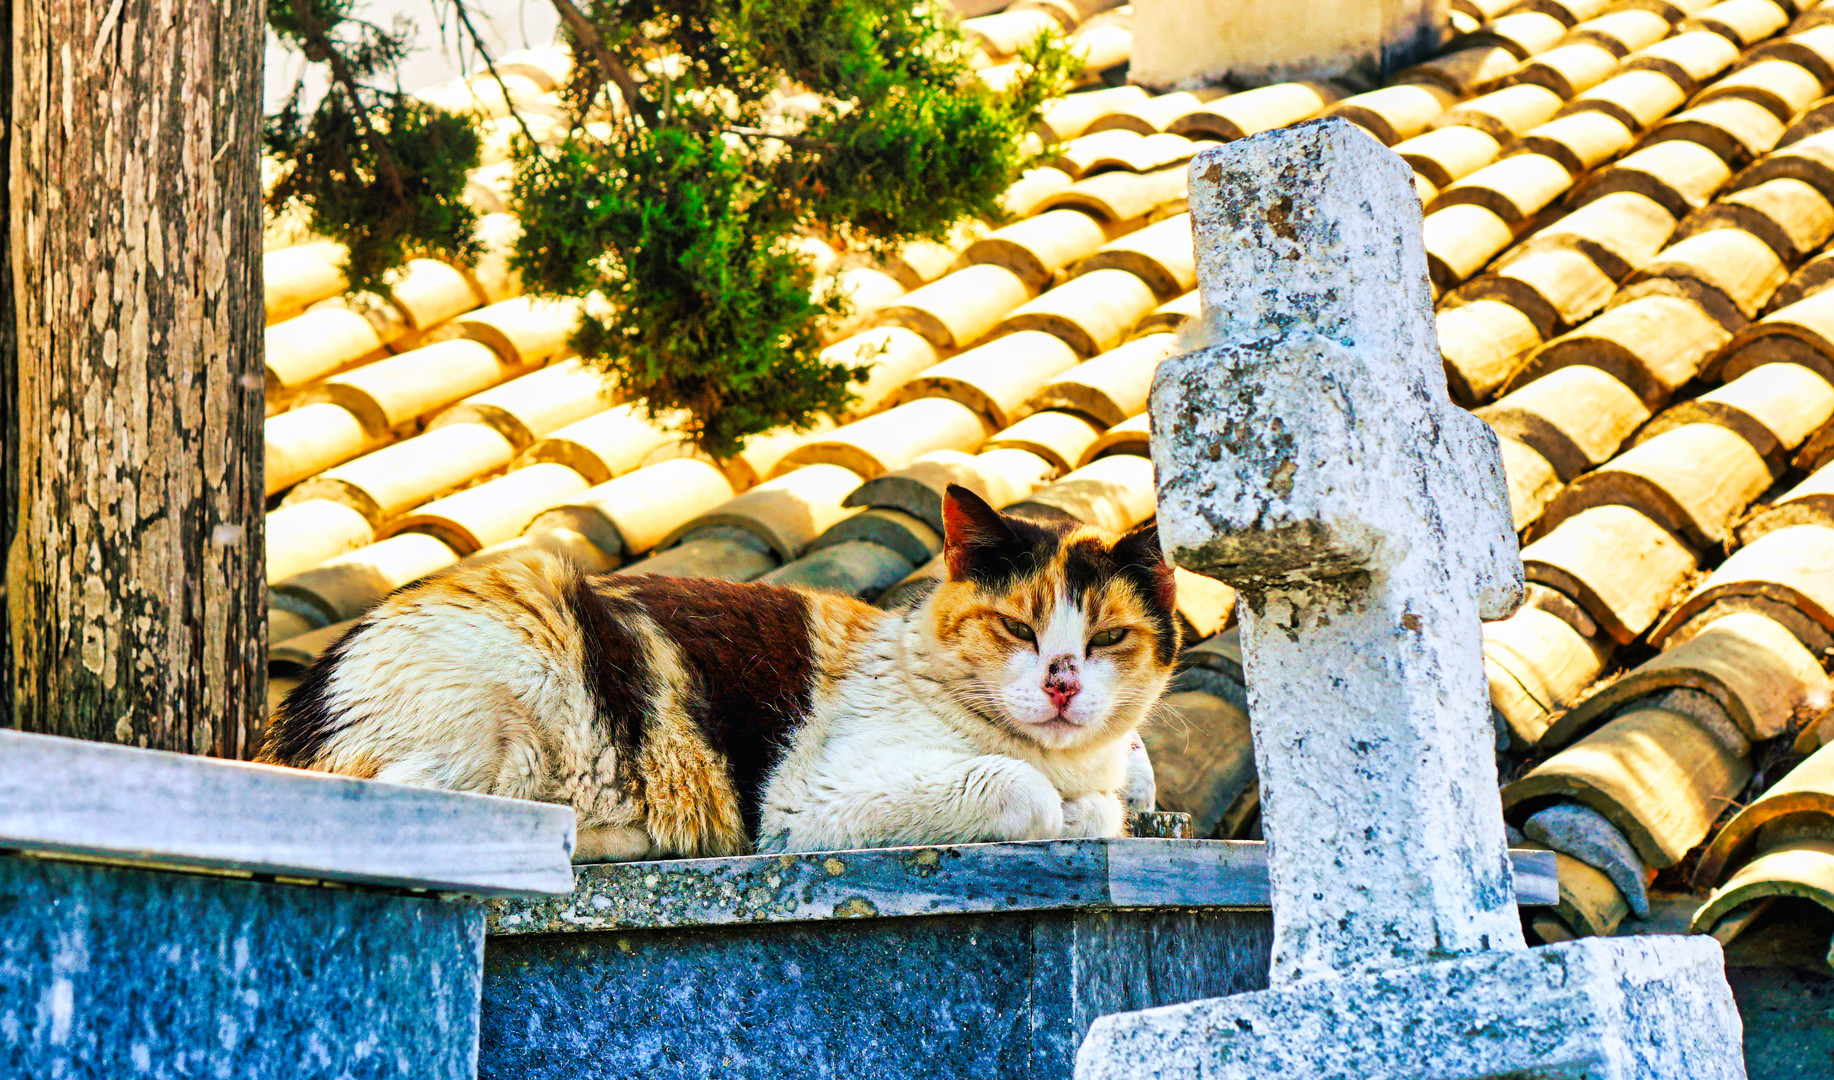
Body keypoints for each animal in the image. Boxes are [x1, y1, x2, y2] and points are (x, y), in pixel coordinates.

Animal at [258, 484, 1181, 861]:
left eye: (1108, 637)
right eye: (1017, 626)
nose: (1062, 682)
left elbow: (1119, 791)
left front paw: (1105, 798)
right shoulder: (810, 802)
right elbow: (1027, 794)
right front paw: (1061, 804)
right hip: (514, 695)